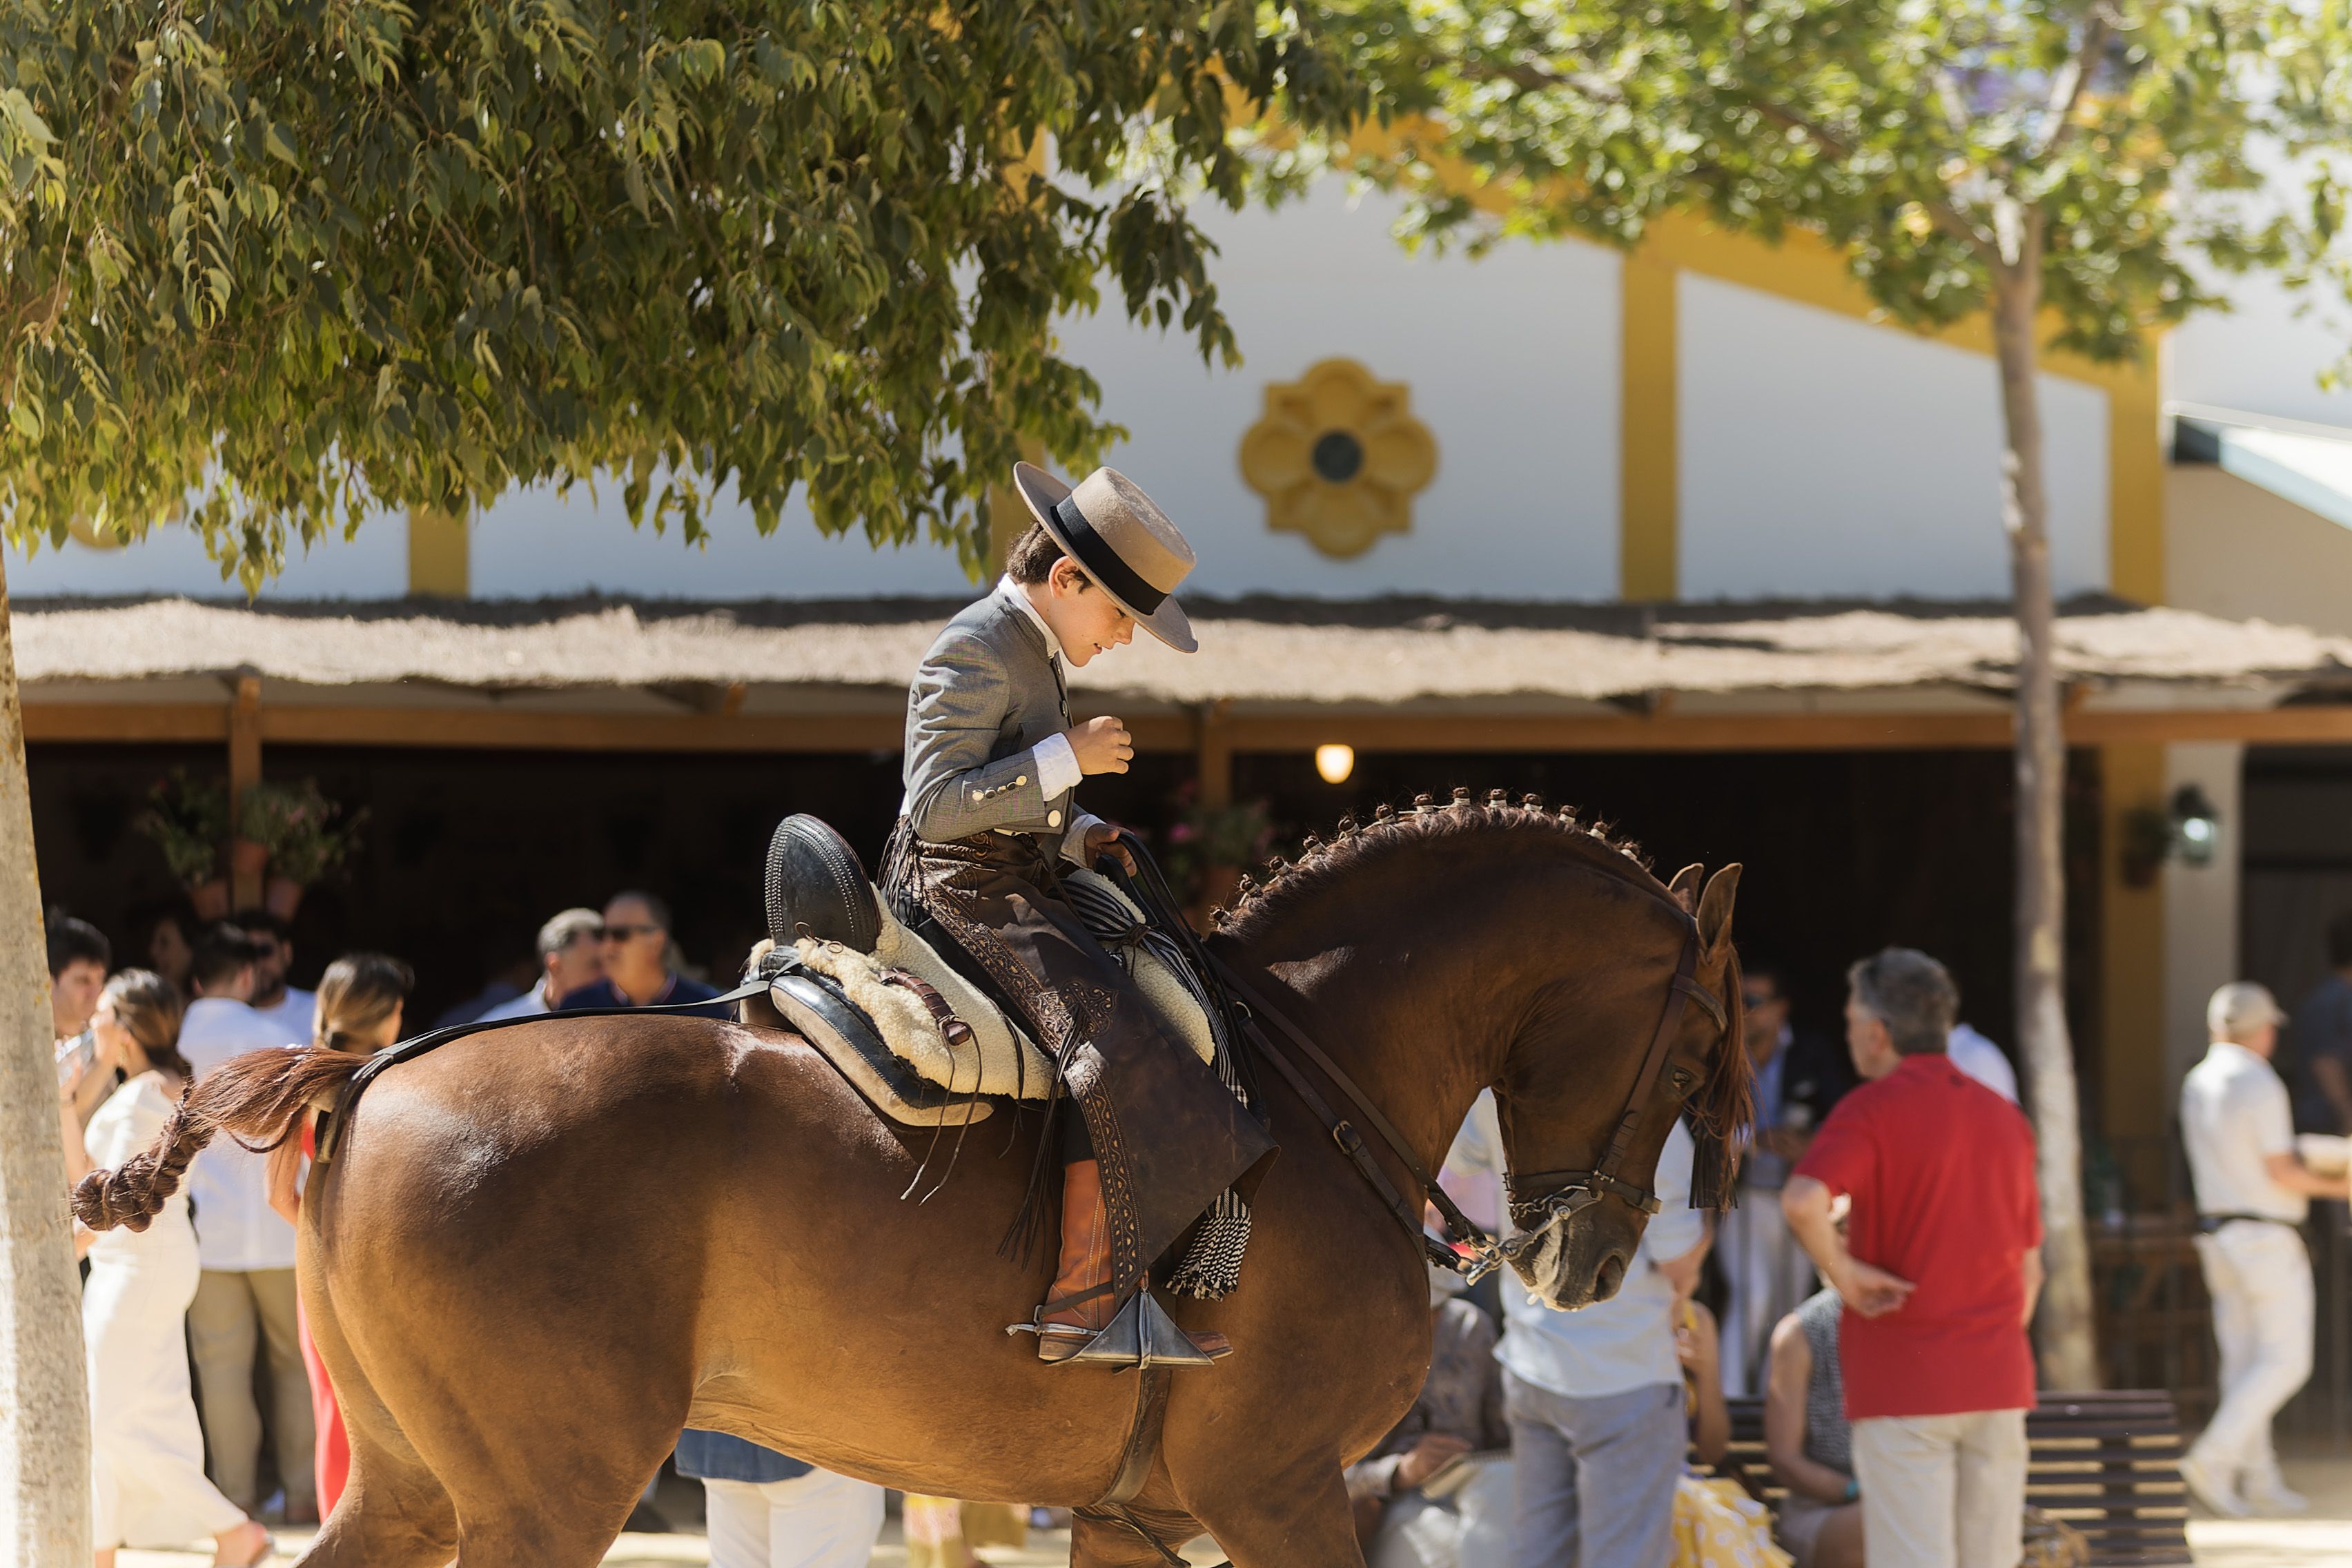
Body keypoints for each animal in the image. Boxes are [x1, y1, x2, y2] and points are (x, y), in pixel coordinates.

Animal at [77, 795, 1749, 1568]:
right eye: (1697, 1044)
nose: (1596, 1261)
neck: (1306, 1072)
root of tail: (370, 1076)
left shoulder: (1136, 1513)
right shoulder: (1279, 1491)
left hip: (417, 1478)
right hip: (540, 1493)